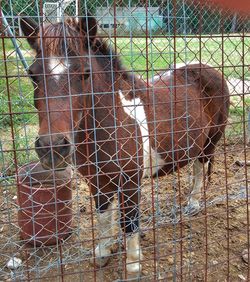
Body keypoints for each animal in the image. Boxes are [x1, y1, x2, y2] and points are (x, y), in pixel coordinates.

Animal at [20, 14, 229, 276]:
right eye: (32, 74)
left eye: (85, 73)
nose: (52, 148)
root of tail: (207, 68)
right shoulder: (97, 182)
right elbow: (103, 217)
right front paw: (102, 253)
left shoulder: (130, 182)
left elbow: (128, 221)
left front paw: (133, 264)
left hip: (210, 143)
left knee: (200, 169)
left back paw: (192, 203)